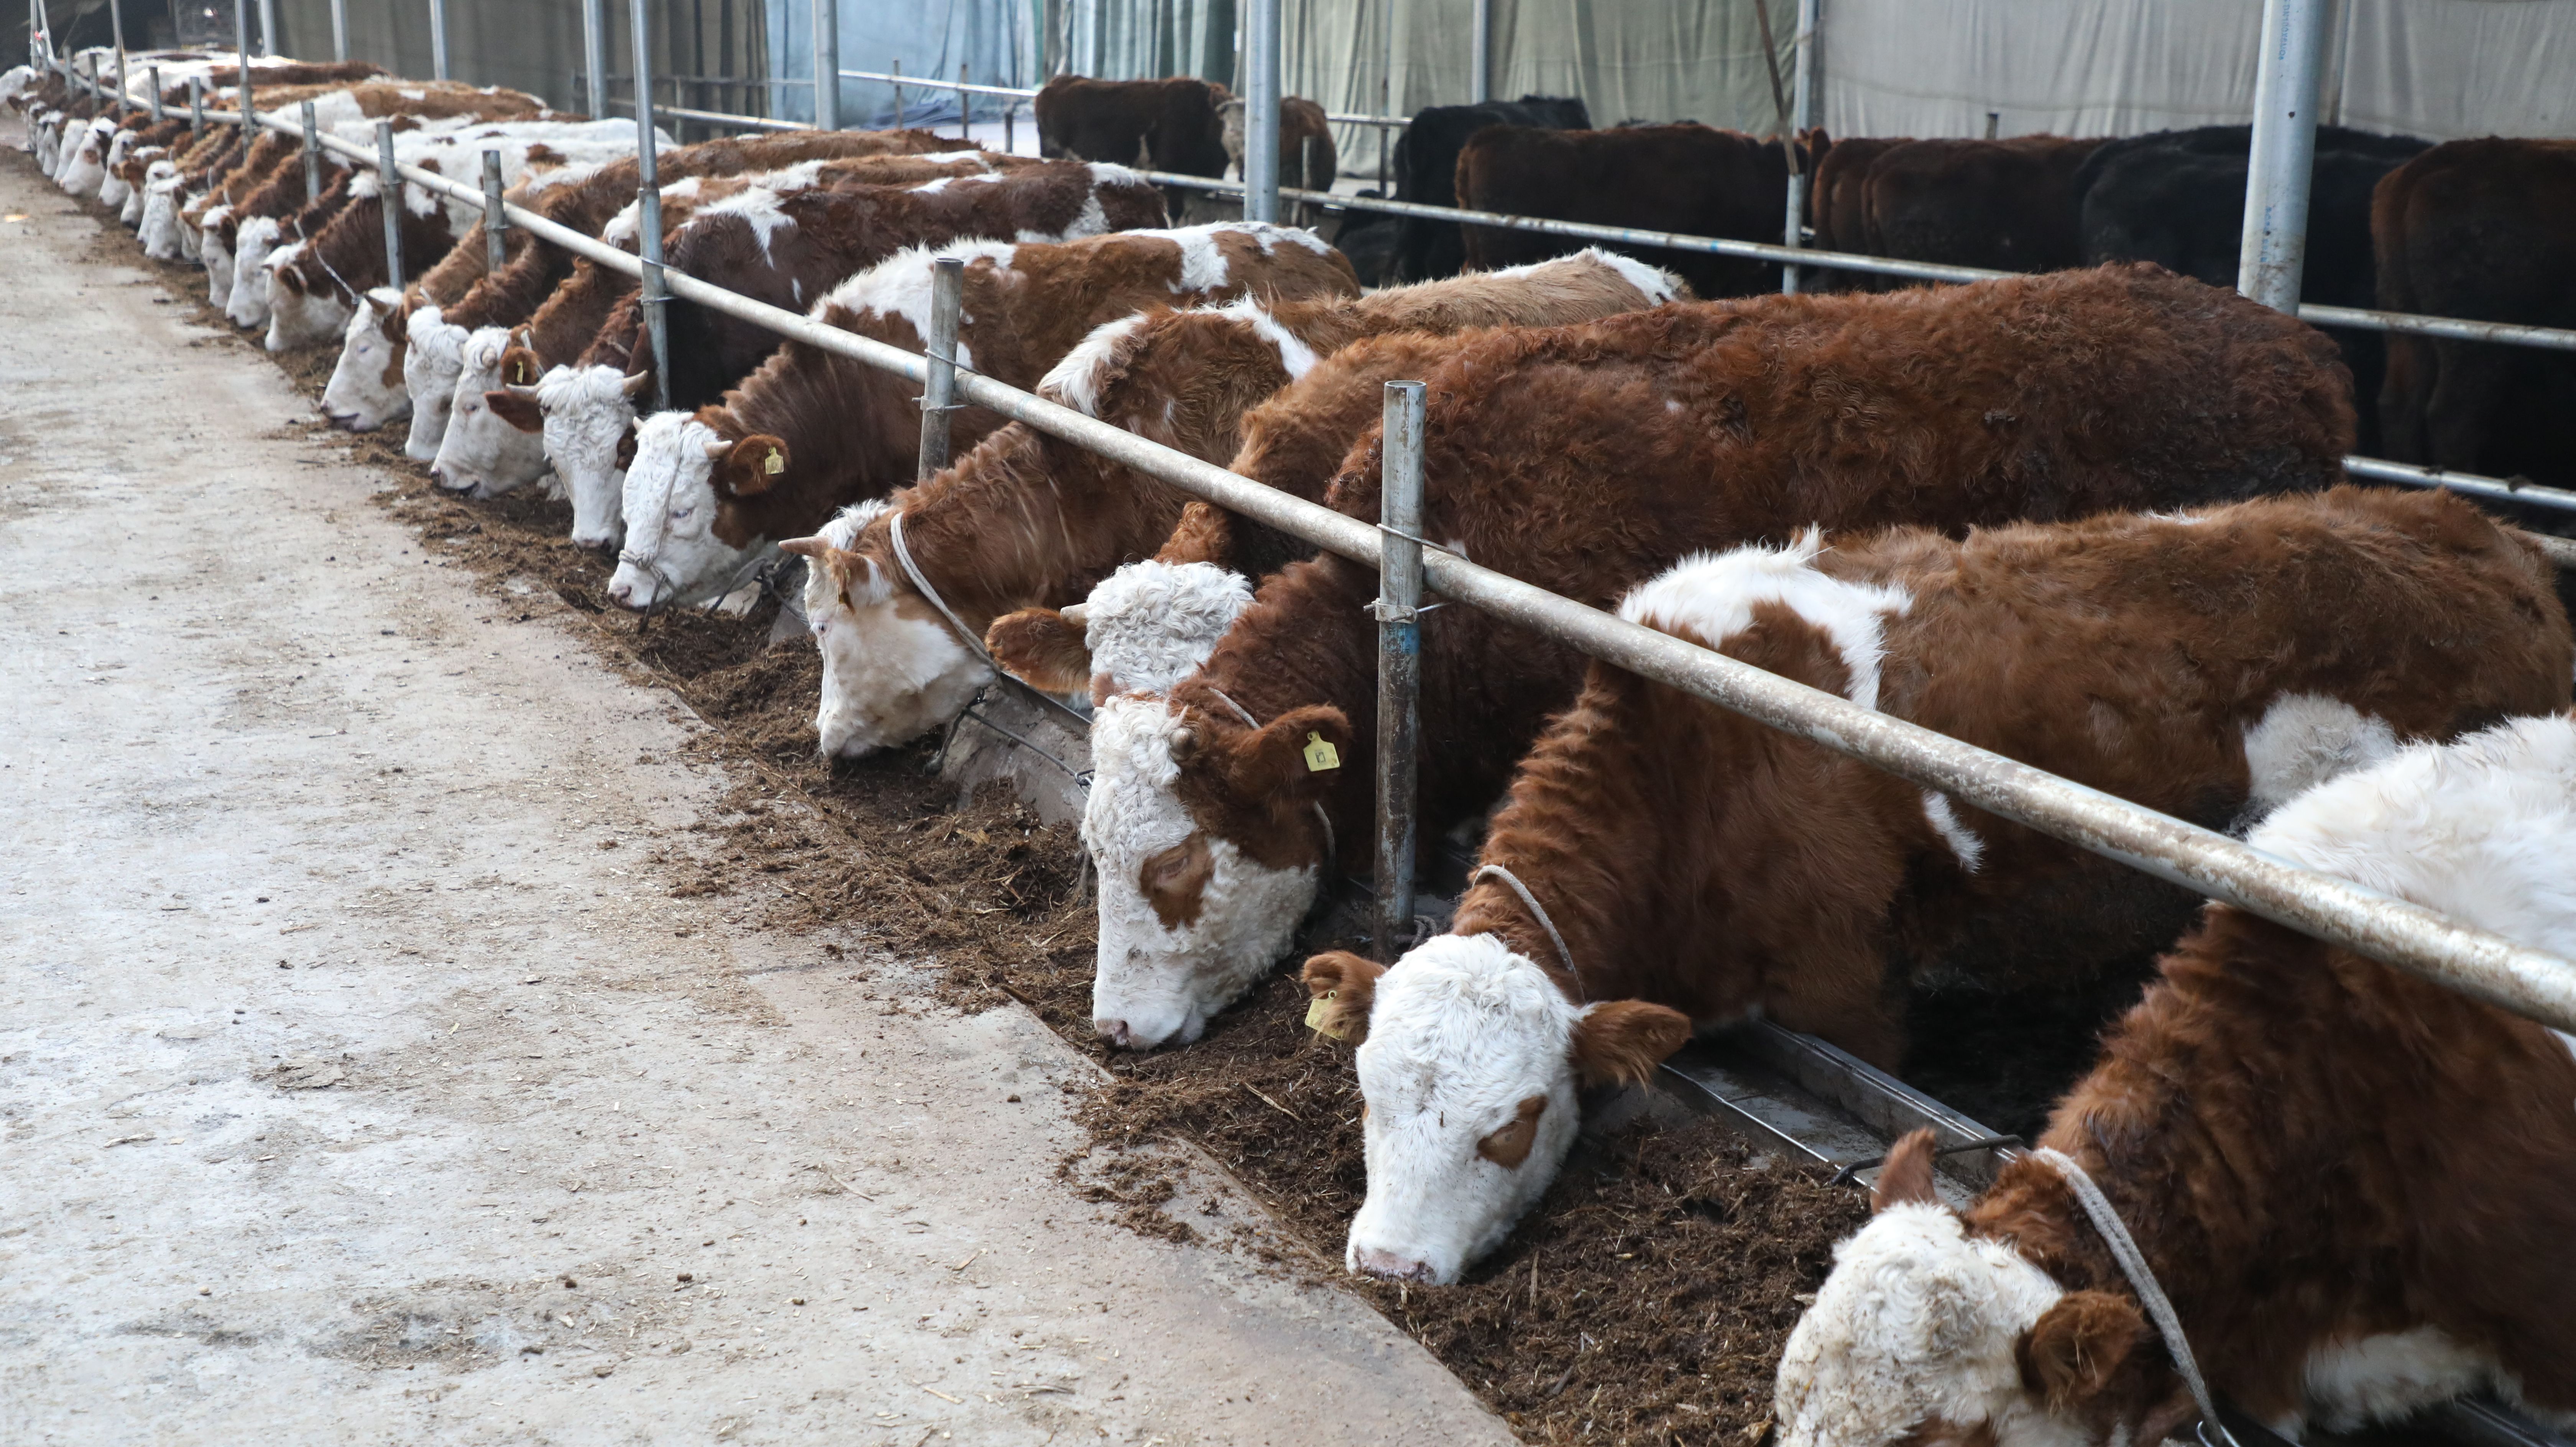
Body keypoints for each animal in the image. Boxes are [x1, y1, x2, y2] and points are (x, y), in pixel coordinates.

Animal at [1308, 489, 2576, 1277]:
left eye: (1515, 1122)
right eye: (1365, 1095)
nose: (1389, 1263)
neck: (1693, 756)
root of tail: (2478, 534)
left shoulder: (1845, 990)